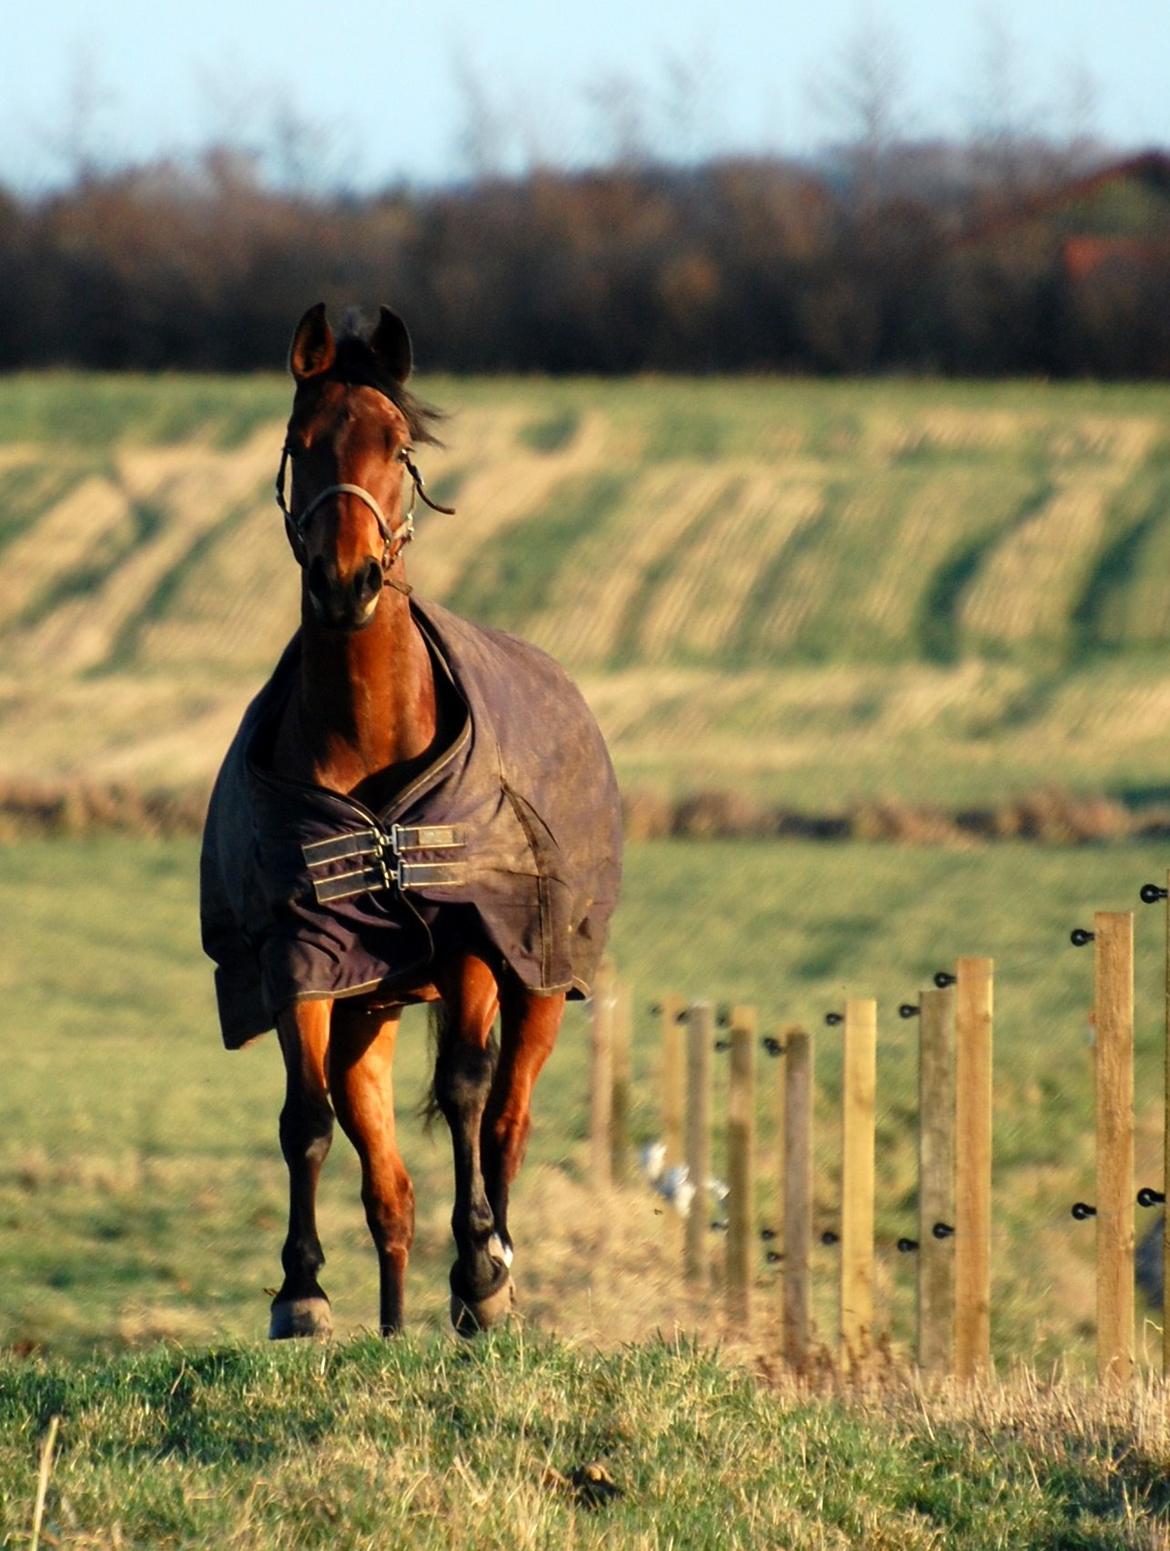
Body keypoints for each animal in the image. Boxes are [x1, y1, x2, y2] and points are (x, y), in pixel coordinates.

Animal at [200, 302, 620, 1333]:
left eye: (397, 444)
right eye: (301, 441)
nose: (346, 580)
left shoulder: (470, 938)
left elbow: (467, 1093)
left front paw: (477, 1273)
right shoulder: (302, 953)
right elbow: (304, 1120)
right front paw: (302, 1293)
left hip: (537, 985)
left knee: (506, 1122)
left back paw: (496, 1273)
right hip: (371, 1011)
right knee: (389, 1188)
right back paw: (393, 1324)